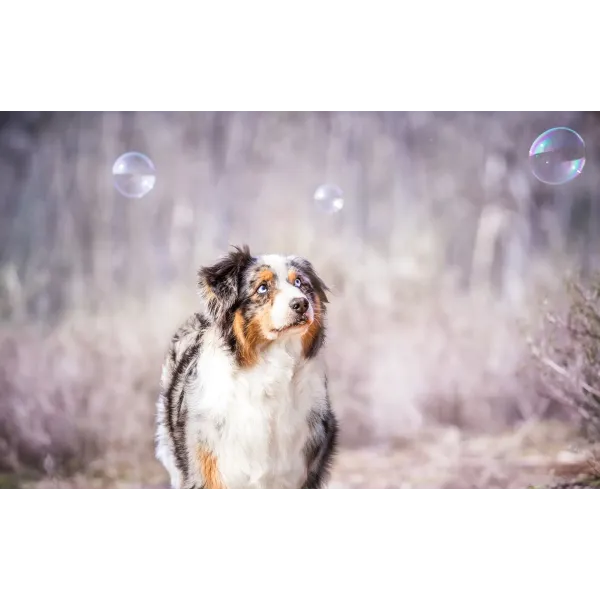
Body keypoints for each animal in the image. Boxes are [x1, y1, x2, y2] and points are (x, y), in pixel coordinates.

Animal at [155, 244, 338, 492]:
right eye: (262, 288)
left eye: (300, 283)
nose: (301, 304)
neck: (270, 367)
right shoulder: (207, 470)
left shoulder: (303, 472)